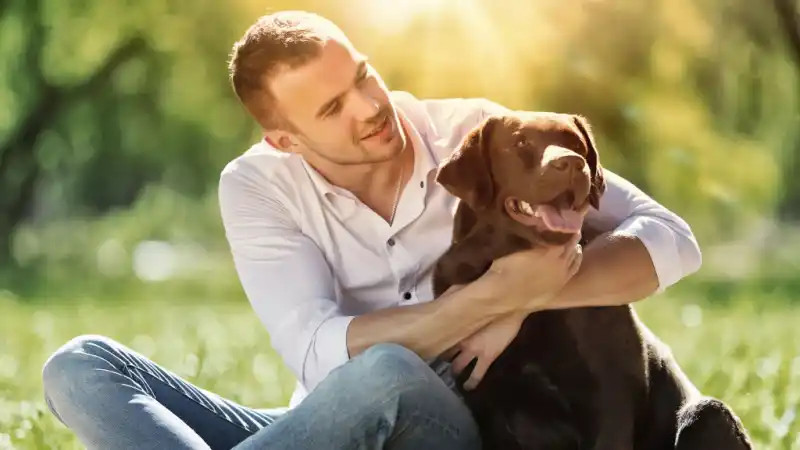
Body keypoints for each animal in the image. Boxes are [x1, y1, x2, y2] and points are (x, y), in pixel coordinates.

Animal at [432, 110, 752, 448]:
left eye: (576, 144)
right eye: (521, 143)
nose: (572, 163)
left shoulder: (609, 396)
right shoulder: (487, 399)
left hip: (708, 414)